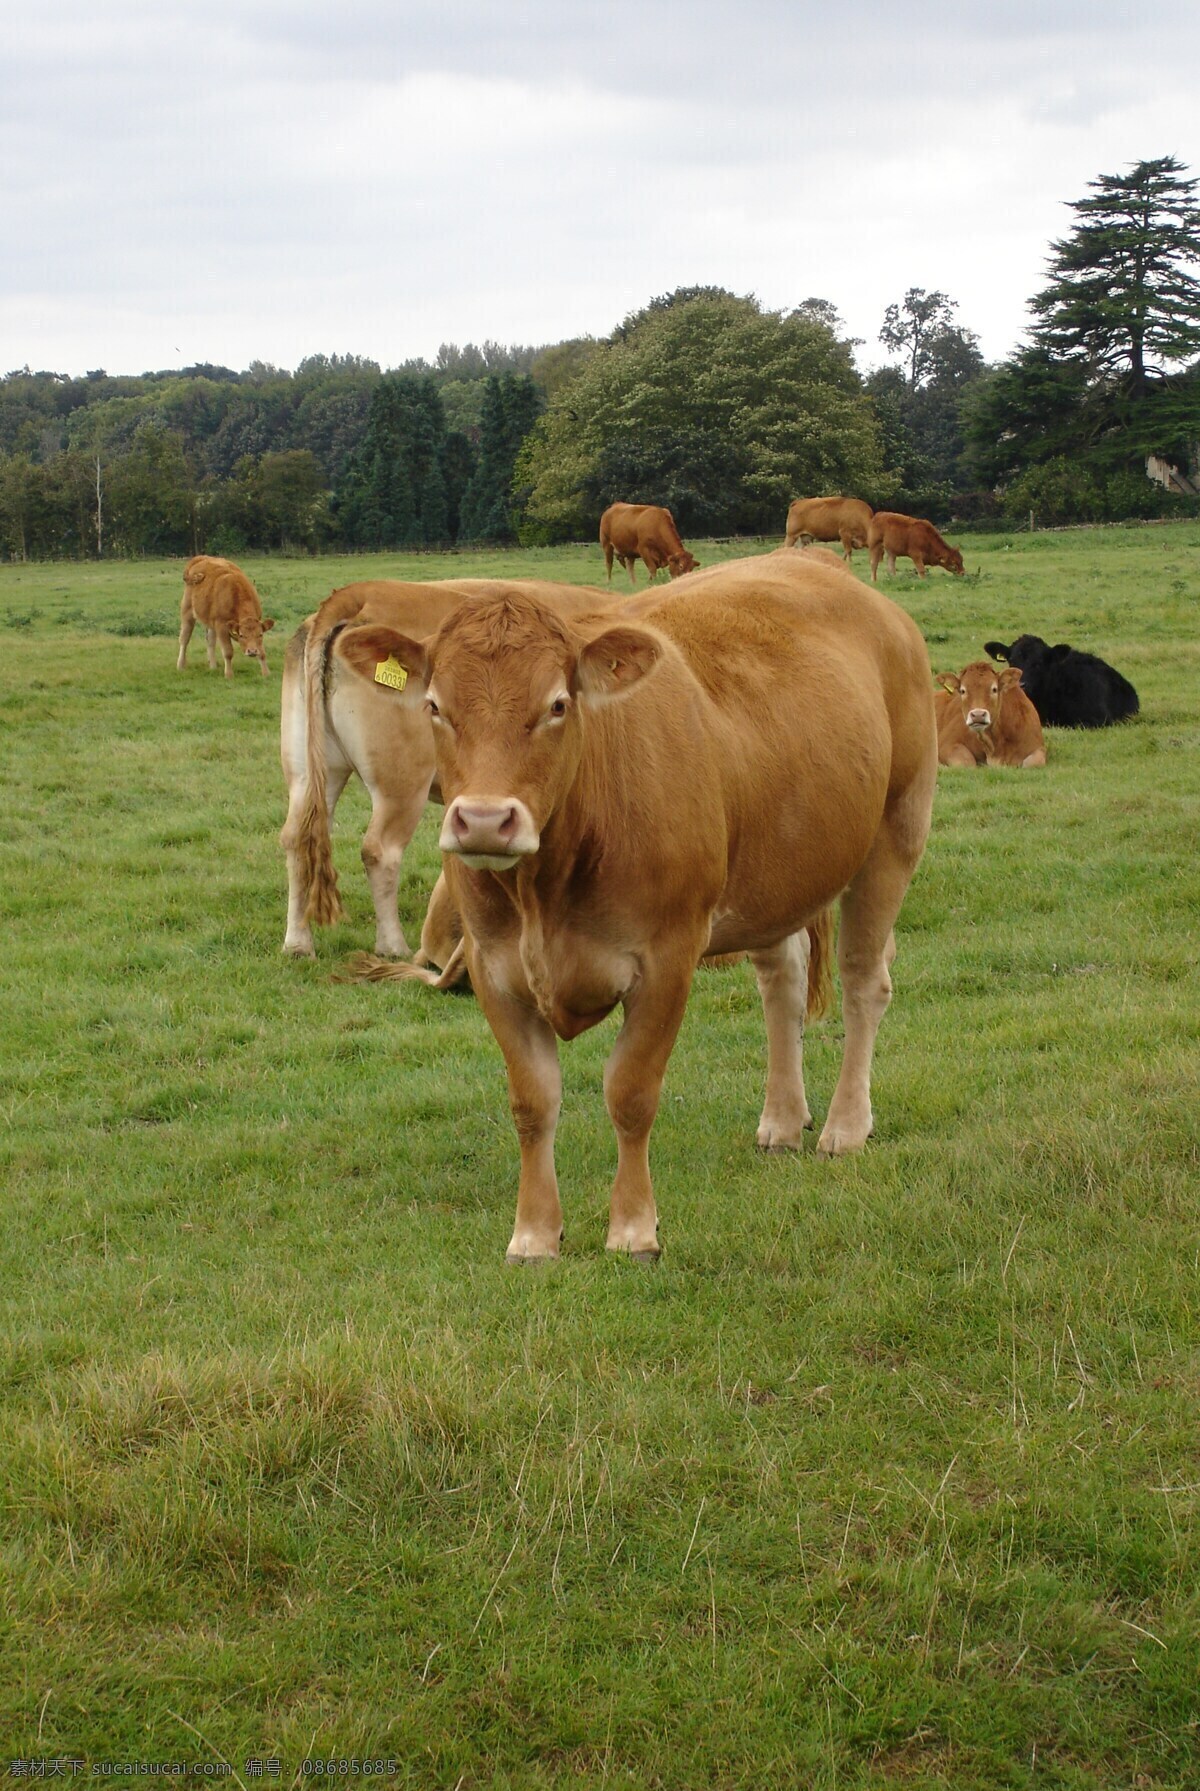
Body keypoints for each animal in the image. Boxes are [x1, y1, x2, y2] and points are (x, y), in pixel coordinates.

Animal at [282, 580, 619, 959]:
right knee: (379, 850)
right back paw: (392, 945)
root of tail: (360, 592)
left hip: (310, 772)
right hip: (402, 784)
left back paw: (298, 942)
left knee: (297, 838)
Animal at [338, 551, 938, 1268]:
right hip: (774, 876)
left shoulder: (667, 960)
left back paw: (846, 1125)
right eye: (434, 705)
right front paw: (533, 1233)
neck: (546, 890)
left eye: (557, 704)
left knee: (863, 982)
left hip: (894, 833)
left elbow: (630, 1092)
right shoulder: (492, 967)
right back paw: (783, 1120)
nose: (484, 820)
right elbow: (532, 1101)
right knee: (783, 984)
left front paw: (632, 1229)